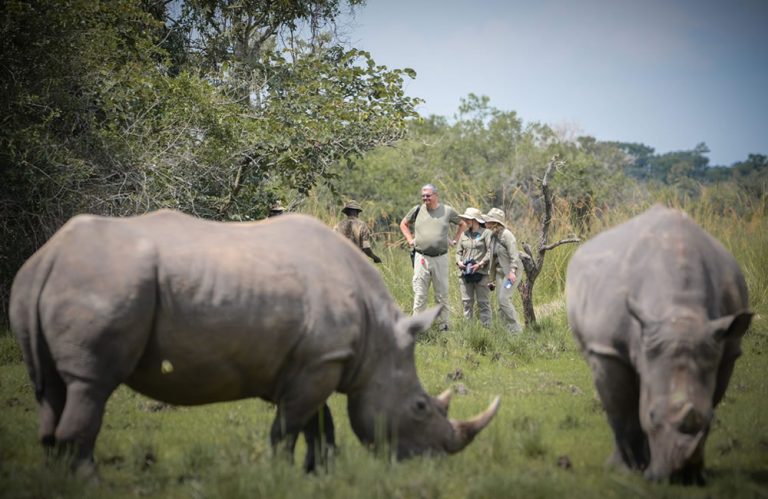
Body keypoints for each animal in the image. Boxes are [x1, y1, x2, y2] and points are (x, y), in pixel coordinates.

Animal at [10, 209, 500, 473]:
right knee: (90, 384)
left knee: (51, 389)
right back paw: (87, 479)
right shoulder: (320, 362)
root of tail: (48, 257)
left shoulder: (317, 360)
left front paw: (319, 475)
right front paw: (283, 475)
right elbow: (286, 429)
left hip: (50, 284)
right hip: (107, 282)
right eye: (419, 407)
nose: (433, 461)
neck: (378, 343)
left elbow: (319, 425)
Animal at [566, 205, 752, 484]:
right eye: (652, 416)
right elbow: (622, 410)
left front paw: (697, 473)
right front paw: (628, 469)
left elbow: (710, 398)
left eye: (710, 420)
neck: (680, 313)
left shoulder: (725, 348)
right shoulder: (608, 349)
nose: (678, 478)